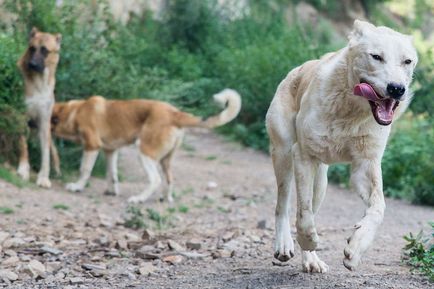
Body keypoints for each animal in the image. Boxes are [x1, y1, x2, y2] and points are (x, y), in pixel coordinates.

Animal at [16, 27, 62, 187]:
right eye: (32, 48)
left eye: (44, 50)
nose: (32, 64)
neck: (39, 83)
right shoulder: (22, 117)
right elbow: (23, 146)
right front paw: (23, 170)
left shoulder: (44, 122)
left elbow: (46, 154)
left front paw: (43, 177)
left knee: (53, 150)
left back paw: (57, 171)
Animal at [51, 90, 241, 202]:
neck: (74, 112)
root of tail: (175, 113)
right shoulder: (111, 151)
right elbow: (112, 174)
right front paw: (112, 191)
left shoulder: (92, 146)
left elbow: (84, 170)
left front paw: (76, 187)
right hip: (165, 160)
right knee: (169, 180)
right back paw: (166, 199)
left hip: (144, 153)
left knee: (155, 180)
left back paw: (139, 198)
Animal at [264, 20, 418, 272]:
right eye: (376, 57)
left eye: (407, 61)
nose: (397, 88)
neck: (351, 112)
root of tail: (295, 70)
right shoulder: (303, 156)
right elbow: (303, 214)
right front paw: (309, 239)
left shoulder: (365, 166)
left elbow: (379, 208)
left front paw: (356, 249)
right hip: (284, 156)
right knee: (283, 205)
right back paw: (285, 245)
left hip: (321, 182)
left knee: (310, 207)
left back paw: (311, 260)